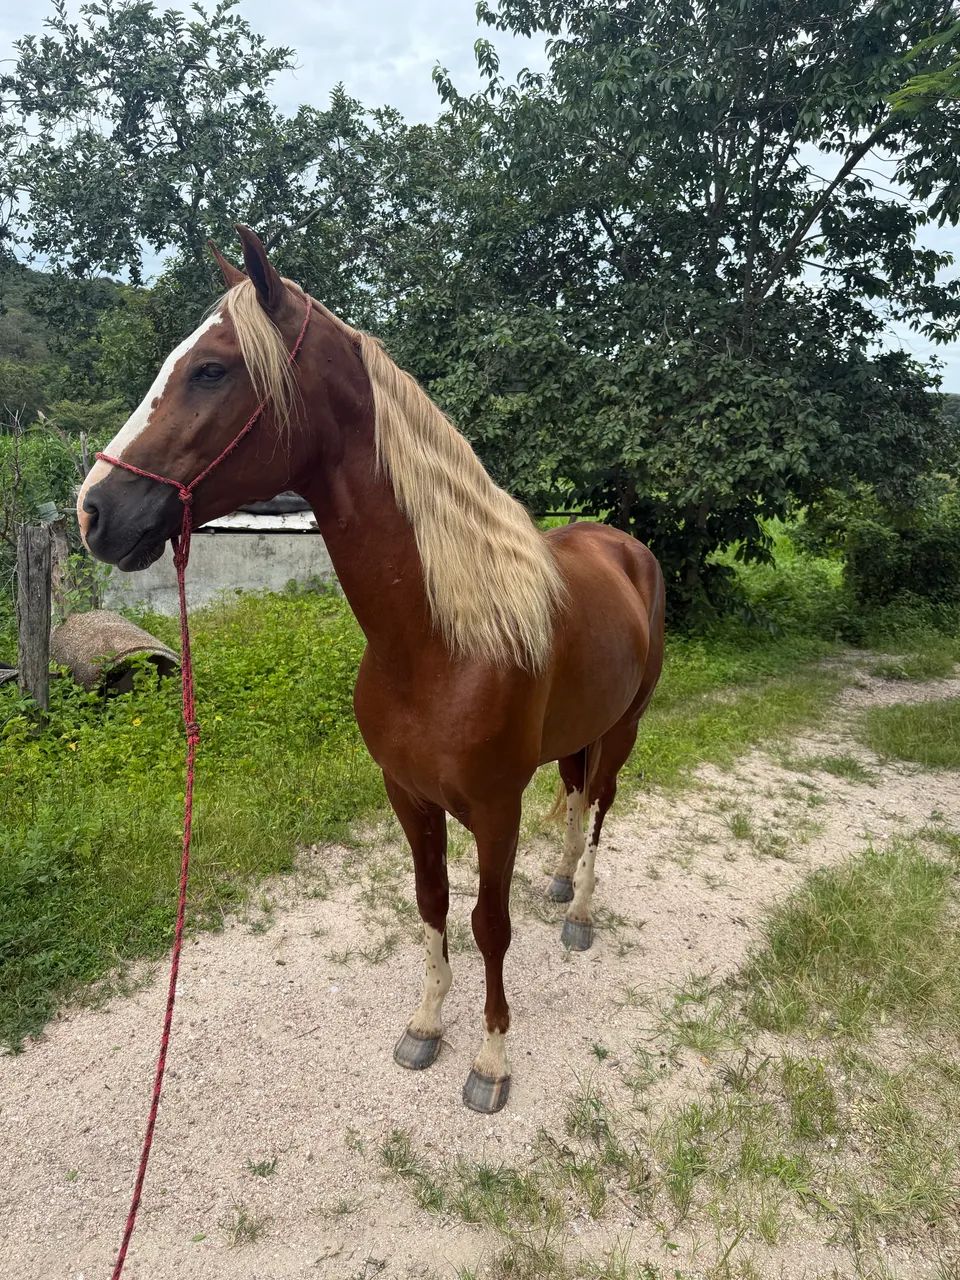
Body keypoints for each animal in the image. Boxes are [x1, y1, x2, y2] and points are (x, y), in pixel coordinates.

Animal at [77, 226, 665, 1114]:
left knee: (597, 807)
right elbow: (431, 904)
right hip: (581, 730)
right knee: (573, 795)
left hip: (625, 728)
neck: (440, 641)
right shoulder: (407, 795)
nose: (94, 511)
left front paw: (491, 1060)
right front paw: (424, 1026)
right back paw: (561, 883)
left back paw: (581, 913)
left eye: (212, 368)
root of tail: (624, 545)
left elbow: (489, 923)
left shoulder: (495, 809)